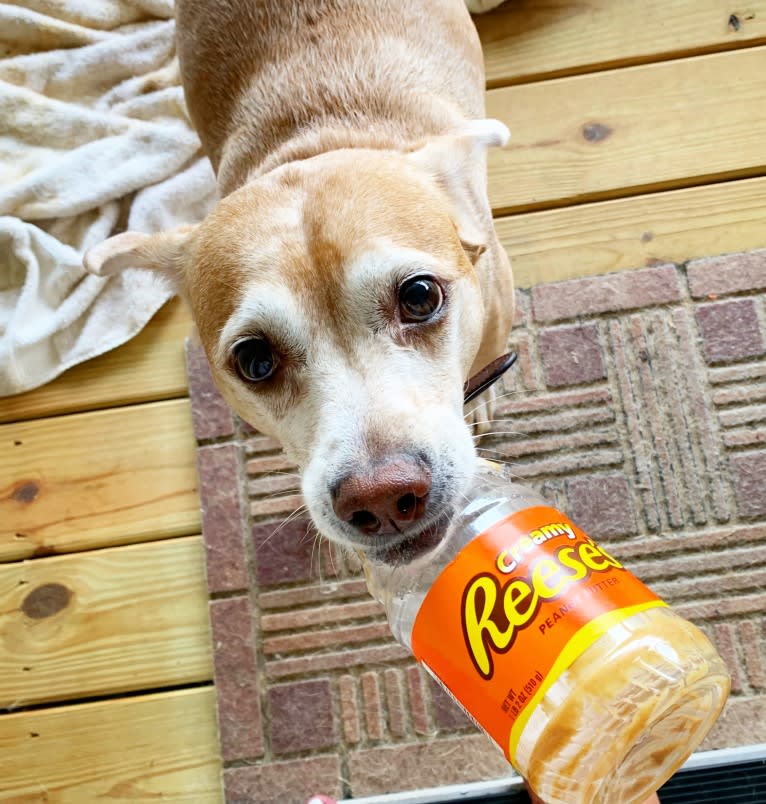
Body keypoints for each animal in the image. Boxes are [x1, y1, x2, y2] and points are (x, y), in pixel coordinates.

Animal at [84, 0, 516, 564]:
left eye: (420, 297)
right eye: (254, 361)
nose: (381, 497)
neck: (314, 141)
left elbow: (491, 348)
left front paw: (482, 392)